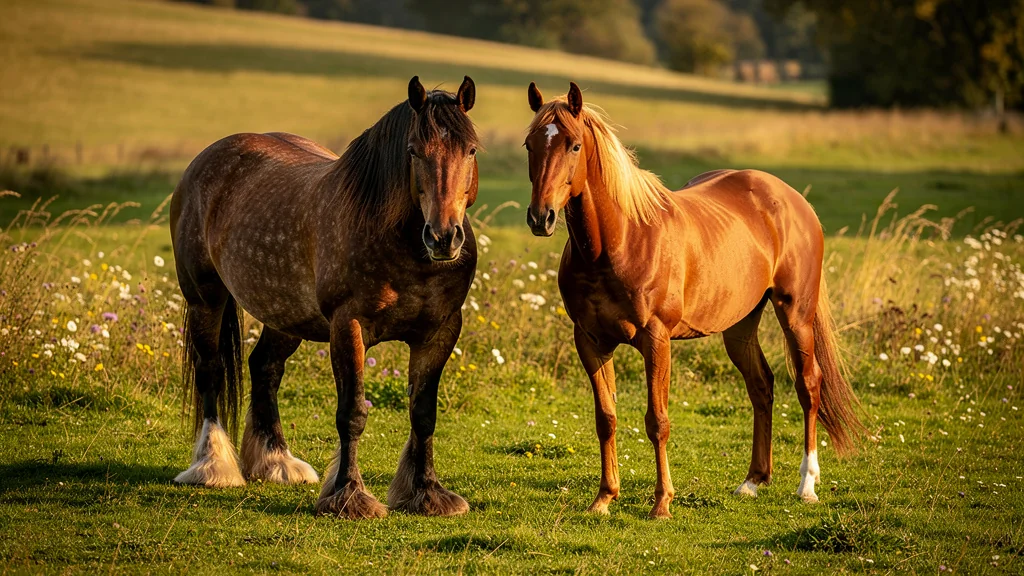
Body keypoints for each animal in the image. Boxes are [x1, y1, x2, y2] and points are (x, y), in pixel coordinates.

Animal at [169, 76, 480, 519]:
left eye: (470, 149)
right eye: (413, 150)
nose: (443, 237)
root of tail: (206, 159)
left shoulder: (439, 332)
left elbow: (423, 414)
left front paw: (426, 493)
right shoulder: (346, 326)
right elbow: (351, 414)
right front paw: (348, 496)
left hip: (286, 314)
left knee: (264, 367)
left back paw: (277, 461)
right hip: (204, 300)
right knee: (210, 371)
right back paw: (214, 466)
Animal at [522, 82, 865, 518]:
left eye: (574, 145)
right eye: (530, 144)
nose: (541, 217)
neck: (618, 242)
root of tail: (791, 199)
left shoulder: (656, 339)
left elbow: (657, 421)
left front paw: (662, 503)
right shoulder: (590, 340)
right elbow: (606, 418)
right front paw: (604, 498)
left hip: (795, 314)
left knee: (808, 386)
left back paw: (807, 485)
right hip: (740, 325)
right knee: (761, 385)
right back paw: (753, 481)